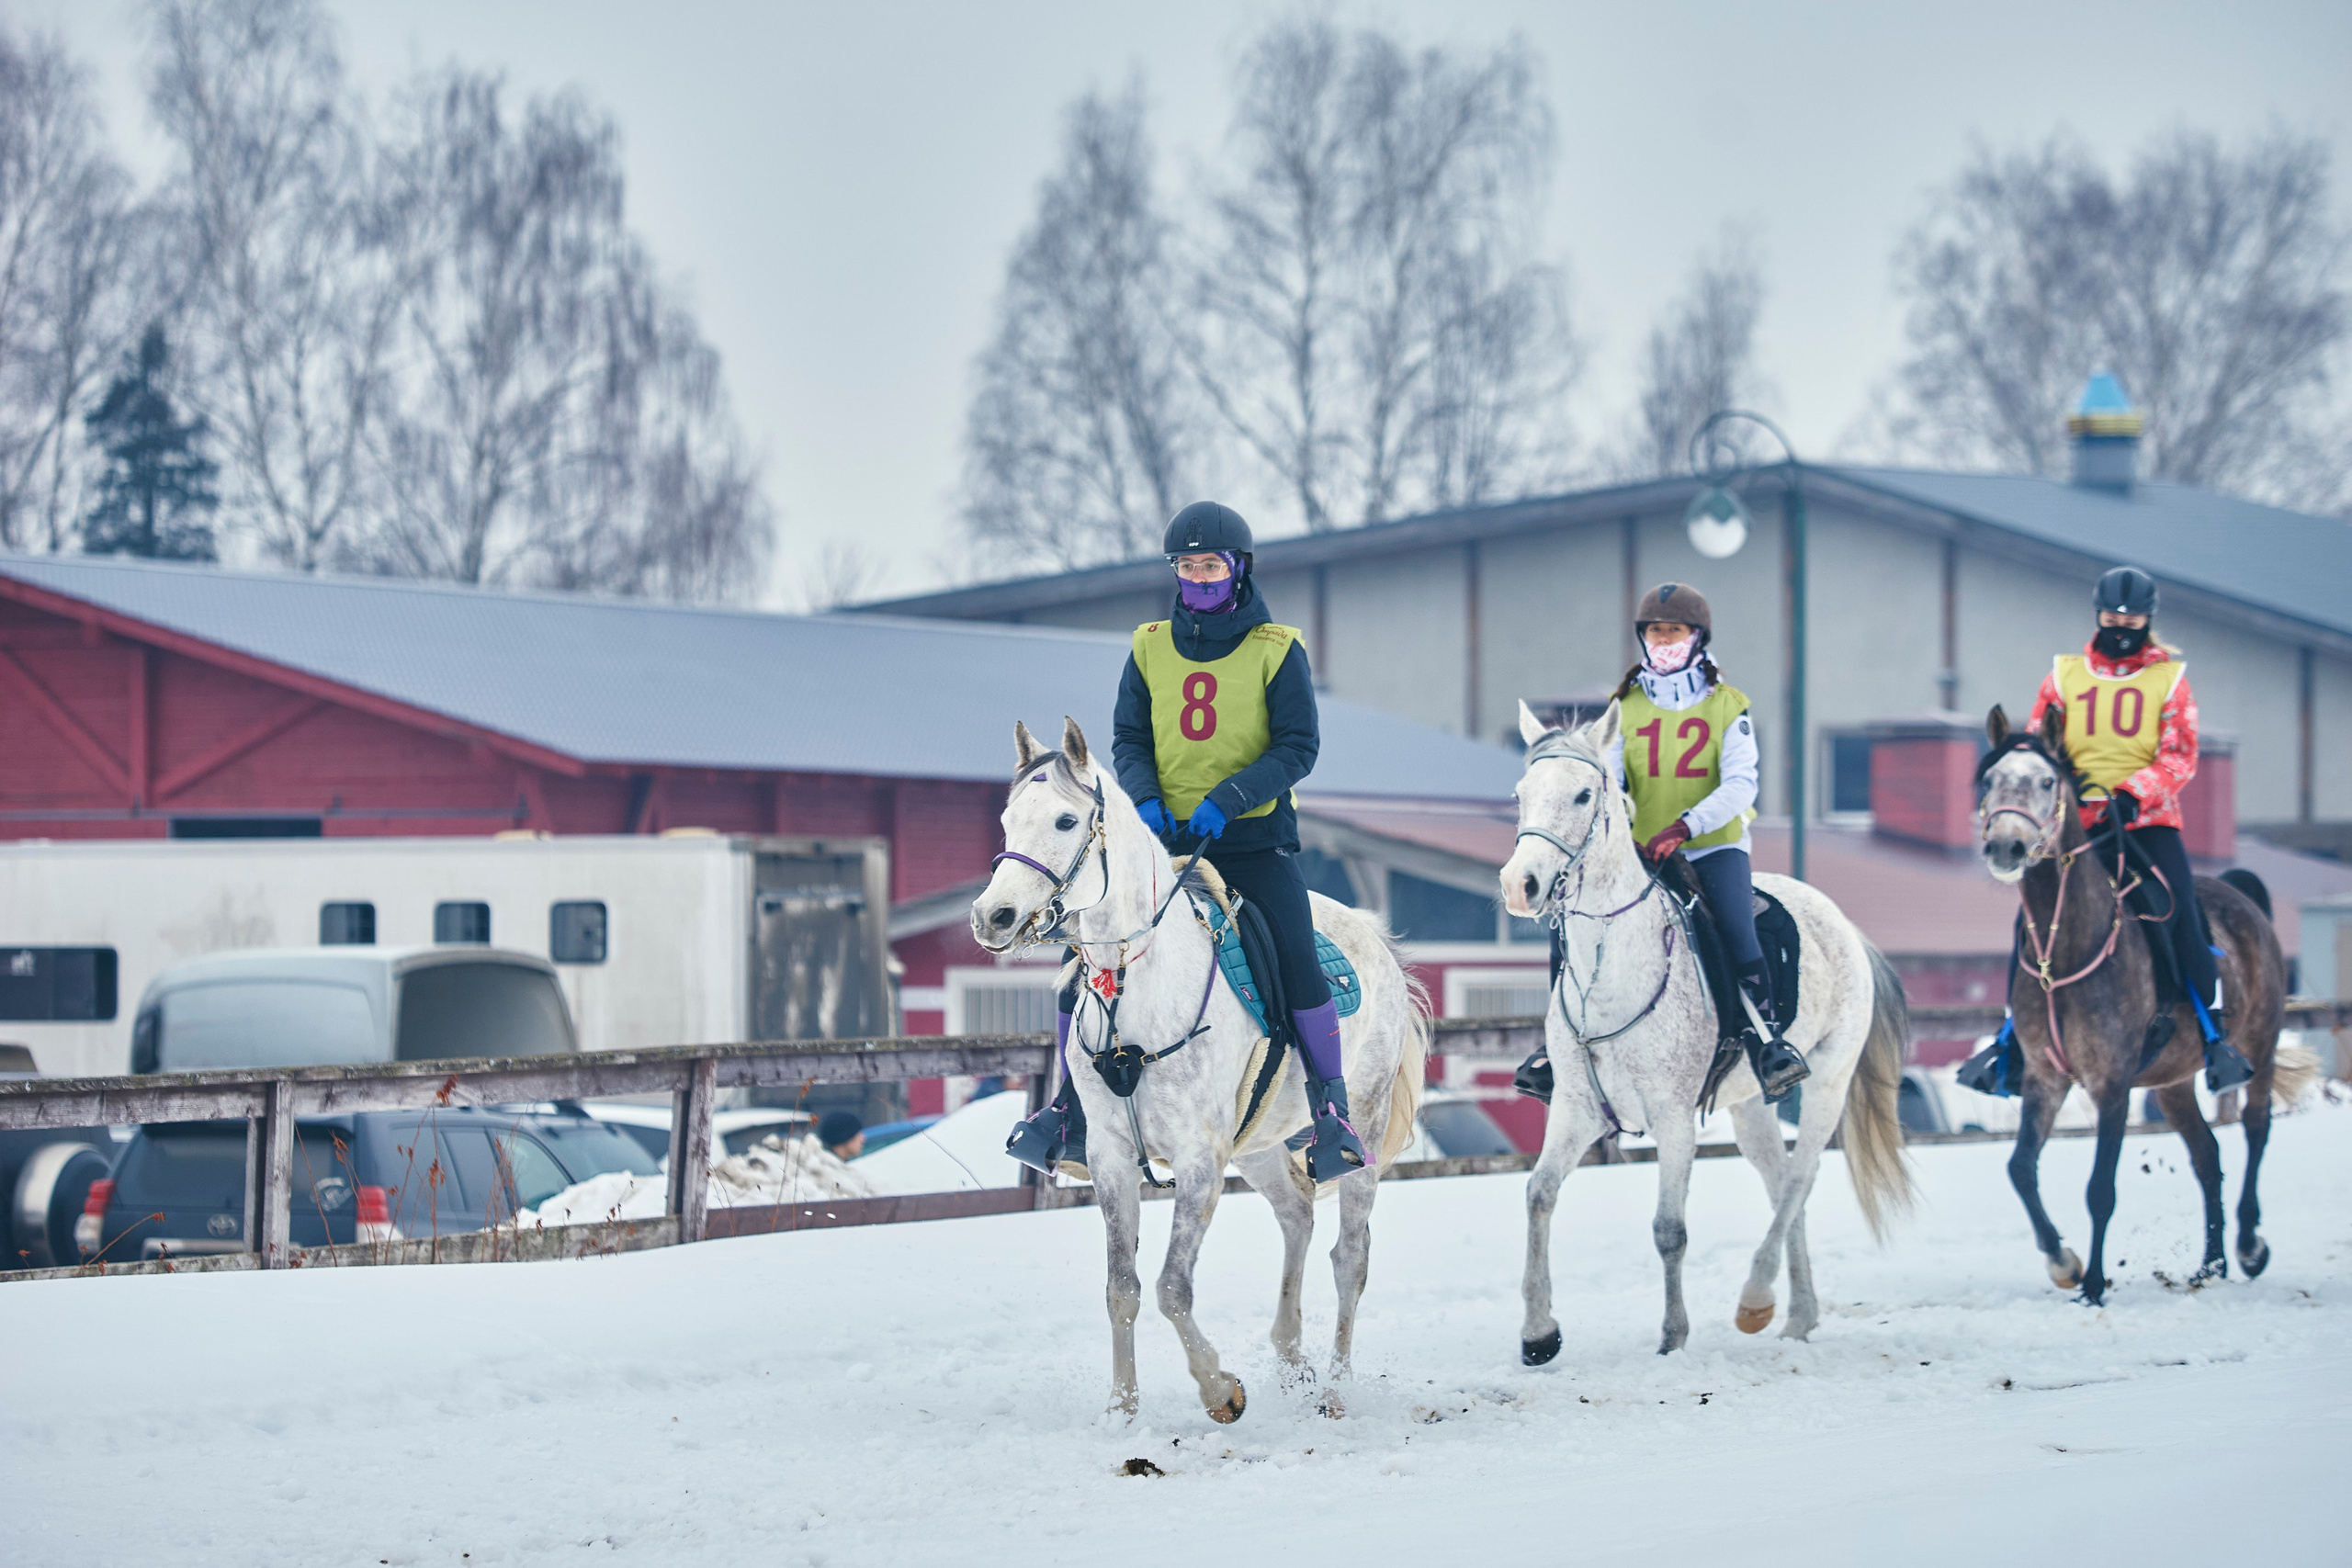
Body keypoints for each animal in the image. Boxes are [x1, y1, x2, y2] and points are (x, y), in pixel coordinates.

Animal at [970, 718, 1427, 1421]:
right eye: (1007, 820)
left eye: (1067, 820)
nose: (992, 917)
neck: (1137, 988)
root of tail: (1375, 939)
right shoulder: (1110, 1159)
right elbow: (1123, 1288)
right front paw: (1122, 1411)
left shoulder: (1199, 1162)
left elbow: (1172, 1287)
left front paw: (1219, 1389)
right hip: (1259, 1143)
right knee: (1297, 1213)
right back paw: (1289, 1356)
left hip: (1365, 1130)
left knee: (1350, 1255)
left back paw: (1332, 1389)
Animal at [1500, 700, 1914, 1360]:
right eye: (1521, 794)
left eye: (1584, 794)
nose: (1522, 886)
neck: (1612, 969)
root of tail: (1844, 924)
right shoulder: (1575, 1108)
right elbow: (1539, 1193)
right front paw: (1539, 1333)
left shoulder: (1672, 1117)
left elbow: (1670, 1229)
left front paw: (1673, 1336)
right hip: (1749, 1108)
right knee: (1780, 1183)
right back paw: (1796, 1314)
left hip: (1828, 1080)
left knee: (1800, 1178)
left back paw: (1756, 1297)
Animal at [1974, 703, 2316, 1304]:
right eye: (1990, 779)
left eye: (2046, 781)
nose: (2006, 847)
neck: (2067, 949)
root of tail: (2242, 893)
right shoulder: (2045, 1077)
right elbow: (2019, 1168)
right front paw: (2062, 1261)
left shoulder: (2111, 1083)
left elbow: (2100, 1189)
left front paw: (2091, 1284)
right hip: (2173, 1082)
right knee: (2207, 1155)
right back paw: (2209, 1265)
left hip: (2261, 1044)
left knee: (2255, 1128)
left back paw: (2249, 1246)